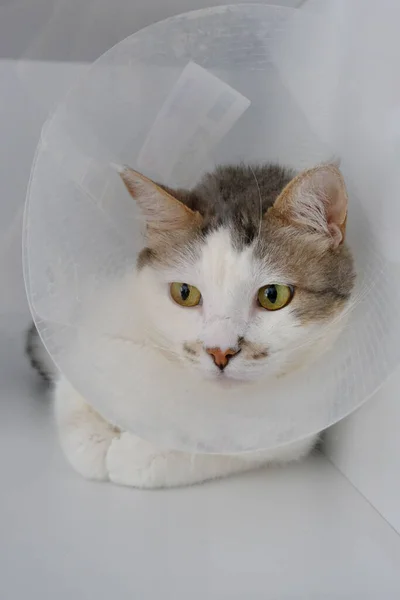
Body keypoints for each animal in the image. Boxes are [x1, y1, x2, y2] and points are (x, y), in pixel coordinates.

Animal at [26, 161, 354, 488]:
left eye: (272, 295)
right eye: (184, 293)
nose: (220, 352)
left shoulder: (292, 429)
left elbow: (214, 448)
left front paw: (133, 452)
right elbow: (72, 395)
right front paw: (95, 437)